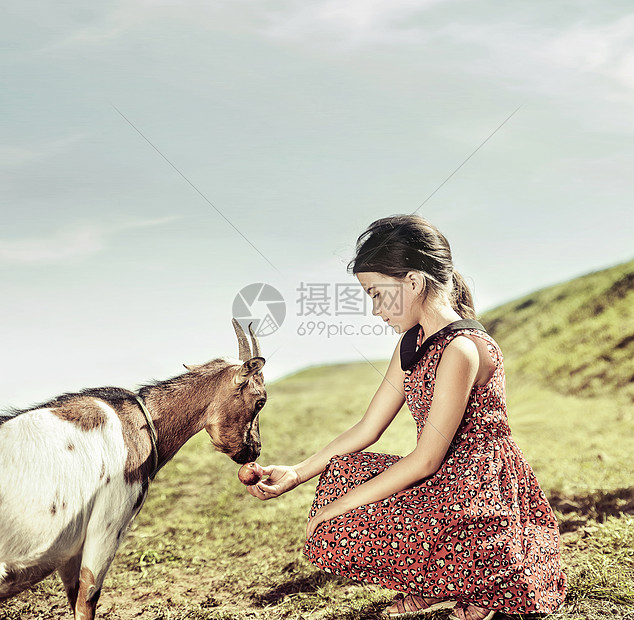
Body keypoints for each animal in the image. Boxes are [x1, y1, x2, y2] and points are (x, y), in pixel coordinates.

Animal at [0, 320, 264, 620]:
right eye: (260, 401)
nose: (255, 450)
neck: (141, 423)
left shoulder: (69, 550)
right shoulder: (107, 525)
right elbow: (87, 599)